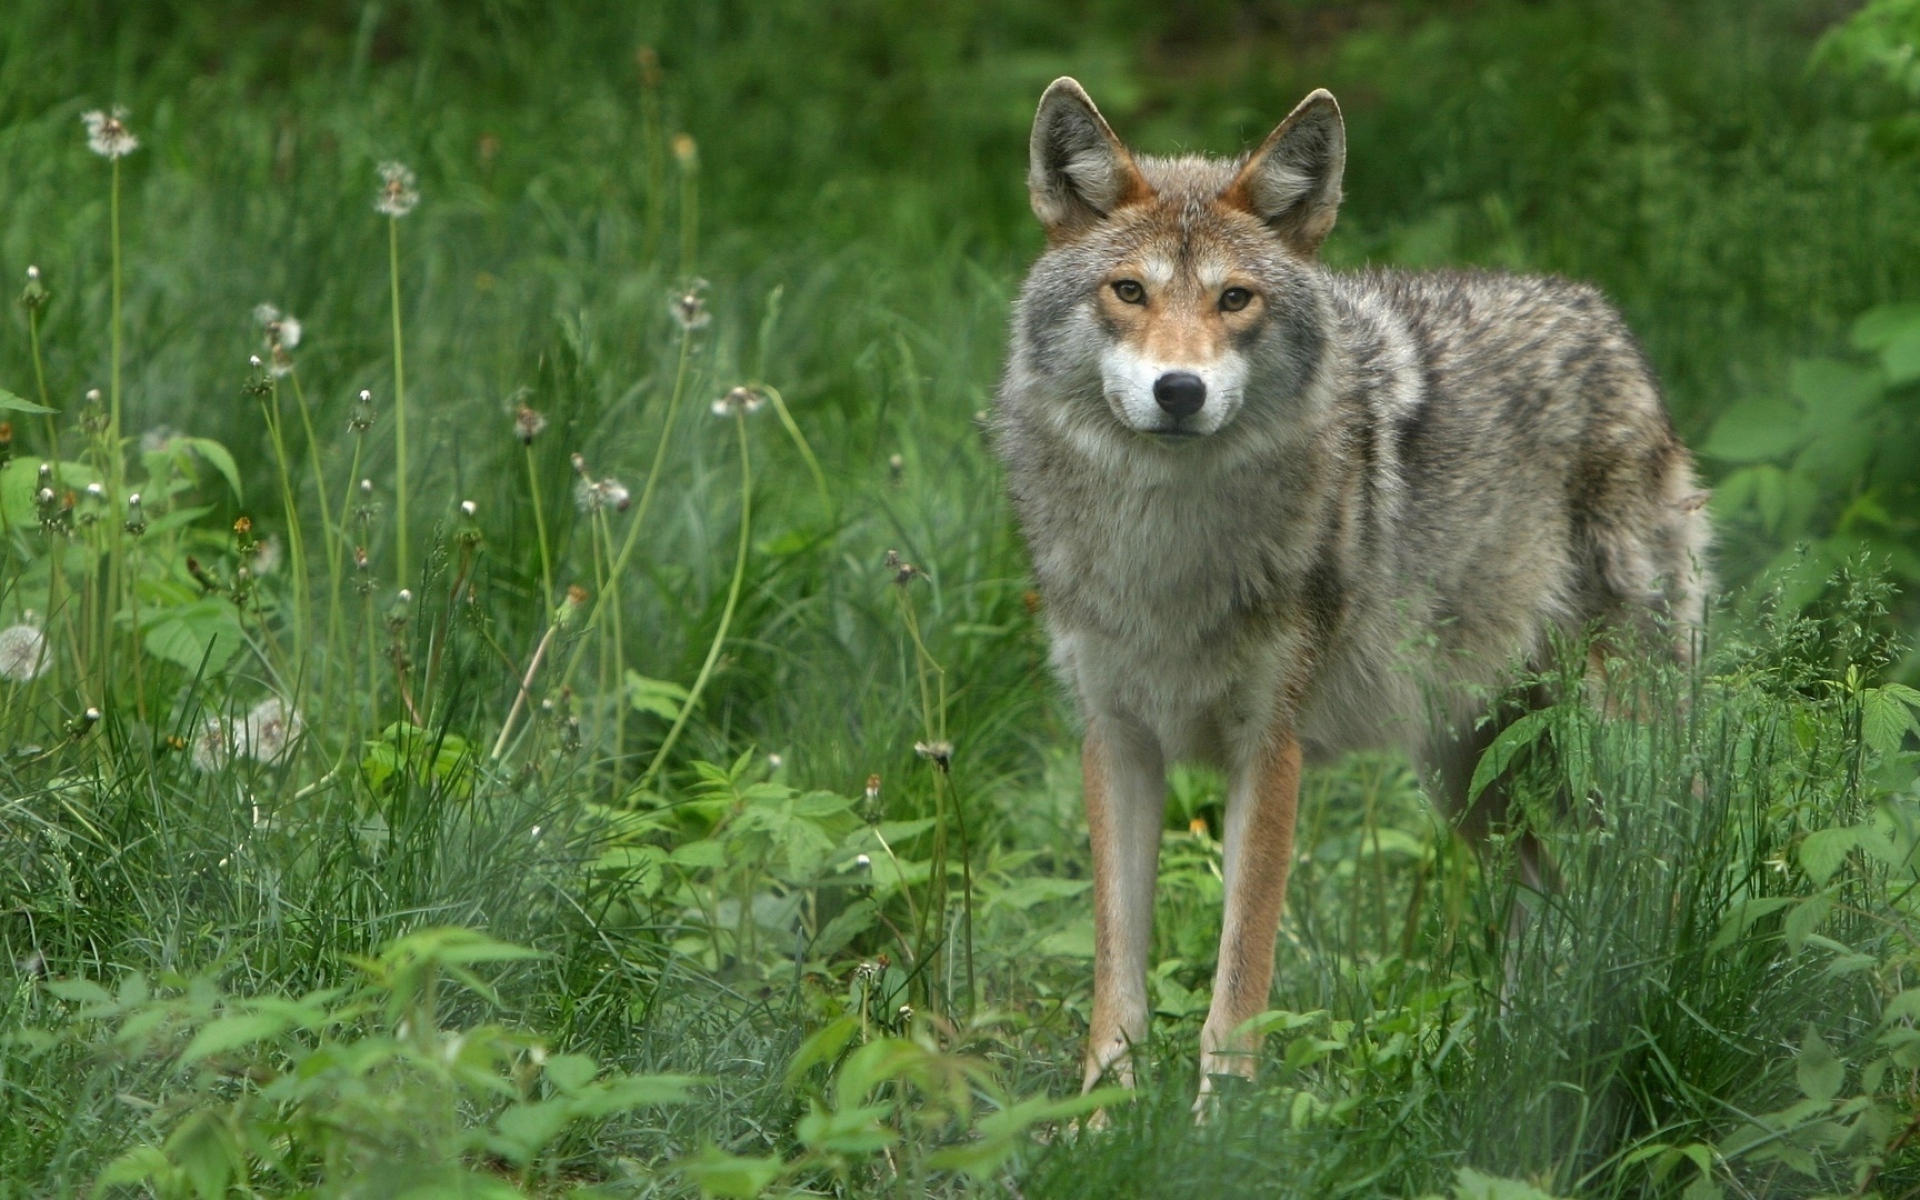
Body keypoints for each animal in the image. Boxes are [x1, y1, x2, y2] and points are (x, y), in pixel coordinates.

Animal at [992, 78, 1710, 1110]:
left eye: (1235, 299)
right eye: (1128, 291)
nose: (1180, 391)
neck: (1167, 551)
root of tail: (1609, 324)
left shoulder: (1270, 749)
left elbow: (1239, 980)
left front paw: (1218, 1126)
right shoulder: (1116, 739)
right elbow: (1116, 979)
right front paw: (1099, 1120)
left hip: (1609, 750)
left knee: (1664, 867)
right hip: (1473, 780)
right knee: (1551, 897)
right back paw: (1521, 1064)